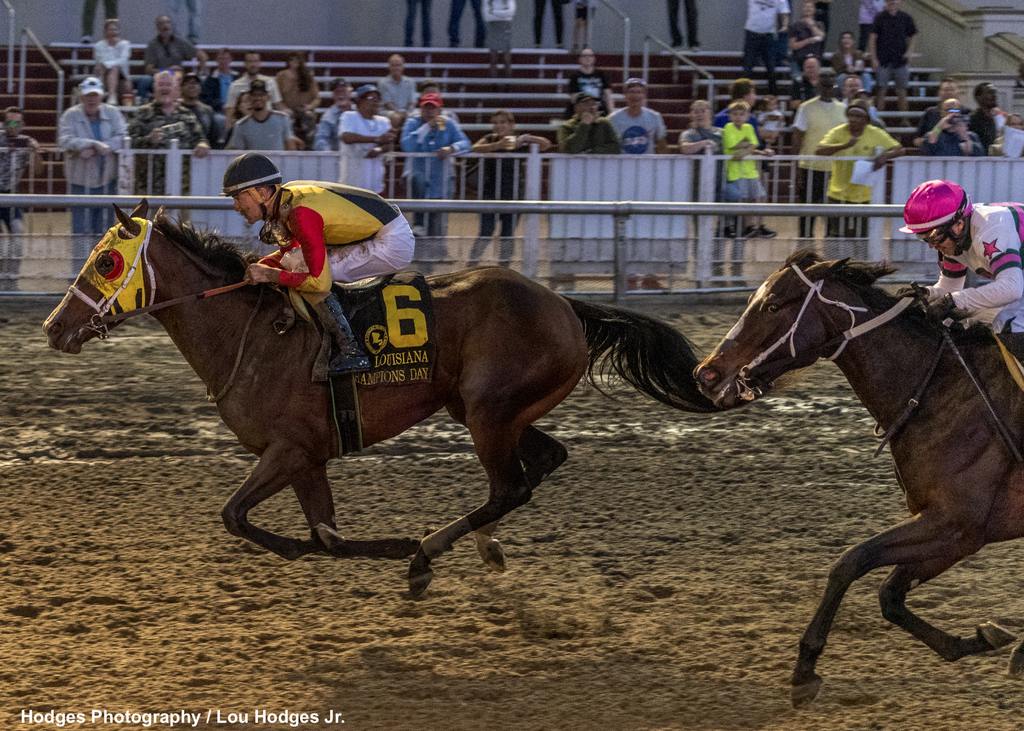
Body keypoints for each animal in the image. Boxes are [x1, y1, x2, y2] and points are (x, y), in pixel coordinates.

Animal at [44, 199, 720, 593]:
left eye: (106, 262)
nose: (54, 328)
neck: (250, 333)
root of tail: (564, 304)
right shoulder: (306, 458)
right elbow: (324, 534)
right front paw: (340, 545)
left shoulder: (290, 449)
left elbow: (238, 516)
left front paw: (395, 547)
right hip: (487, 409)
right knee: (541, 464)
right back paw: (479, 545)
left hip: (489, 410)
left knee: (510, 486)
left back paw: (430, 552)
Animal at [692, 247, 1024, 704]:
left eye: (773, 305)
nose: (706, 374)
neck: (938, 391)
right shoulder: (952, 531)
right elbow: (890, 596)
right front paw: (983, 640)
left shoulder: (956, 524)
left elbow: (850, 562)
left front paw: (805, 667)